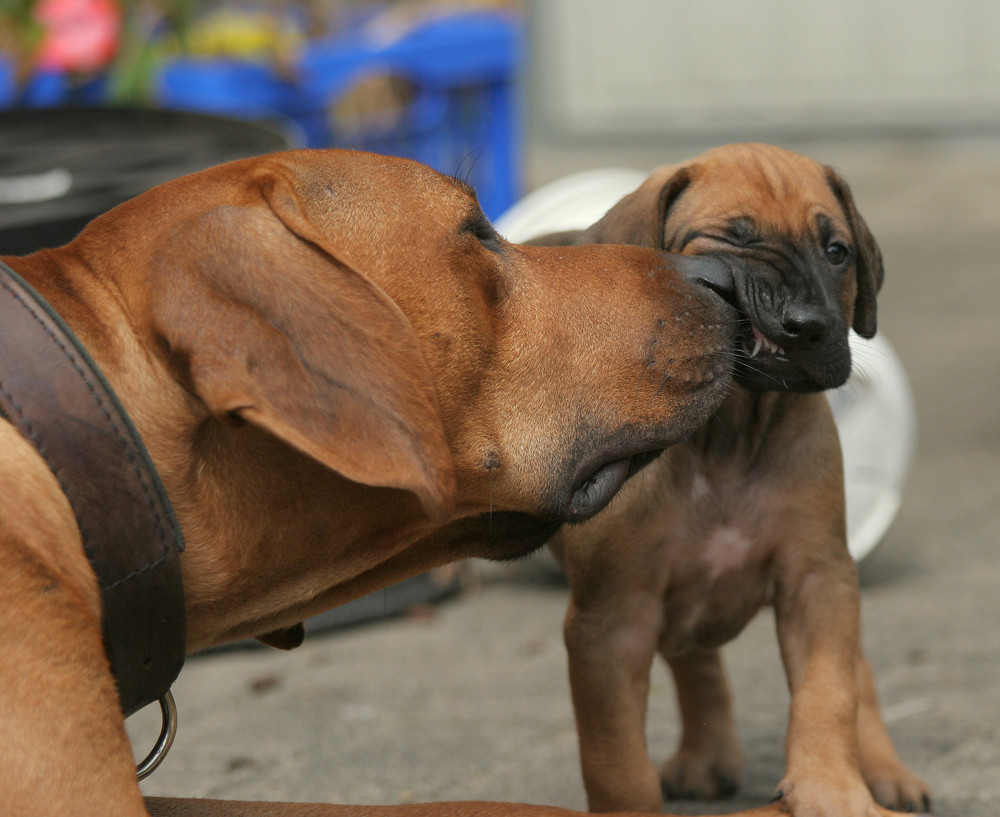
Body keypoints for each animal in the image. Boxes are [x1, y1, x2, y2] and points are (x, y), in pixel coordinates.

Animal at [536, 145, 932, 816]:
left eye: (837, 251)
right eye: (731, 243)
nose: (809, 324)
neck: (729, 432)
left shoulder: (818, 576)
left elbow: (829, 692)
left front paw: (833, 788)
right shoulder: (611, 618)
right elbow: (616, 759)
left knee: (854, 671)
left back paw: (883, 770)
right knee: (694, 662)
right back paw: (707, 757)